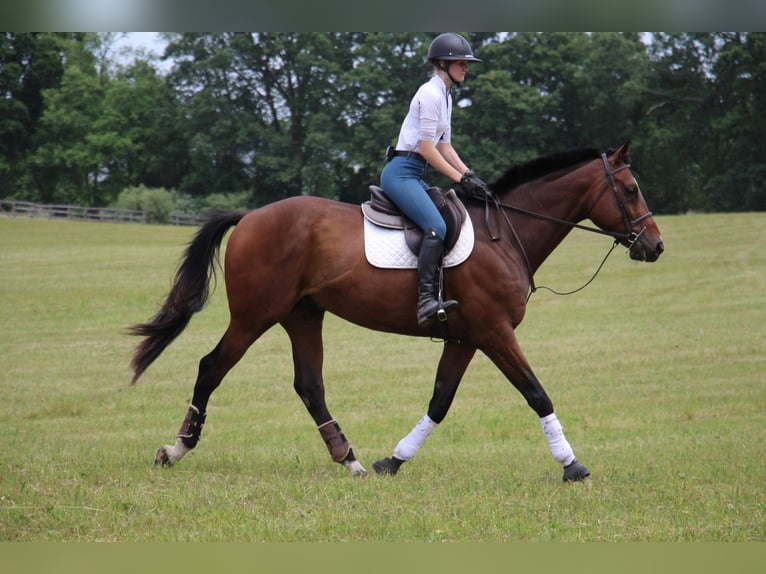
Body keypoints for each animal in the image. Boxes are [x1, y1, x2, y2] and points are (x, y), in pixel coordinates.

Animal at [129, 142, 664, 484]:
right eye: (631, 189)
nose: (655, 246)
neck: (506, 235)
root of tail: (251, 217)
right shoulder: (494, 332)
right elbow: (536, 393)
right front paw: (572, 465)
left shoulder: (465, 338)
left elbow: (440, 401)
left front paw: (394, 460)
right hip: (254, 316)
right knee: (211, 367)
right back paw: (175, 449)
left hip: (303, 315)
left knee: (309, 385)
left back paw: (351, 460)